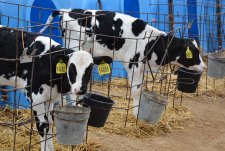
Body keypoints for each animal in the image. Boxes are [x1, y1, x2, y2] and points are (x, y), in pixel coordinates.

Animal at [40, 8, 206, 117]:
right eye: (193, 52)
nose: (204, 67)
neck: (152, 42)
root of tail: (67, 10)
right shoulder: (134, 64)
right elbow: (136, 90)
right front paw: (135, 114)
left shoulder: (142, 68)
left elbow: (140, 89)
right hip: (74, 45)